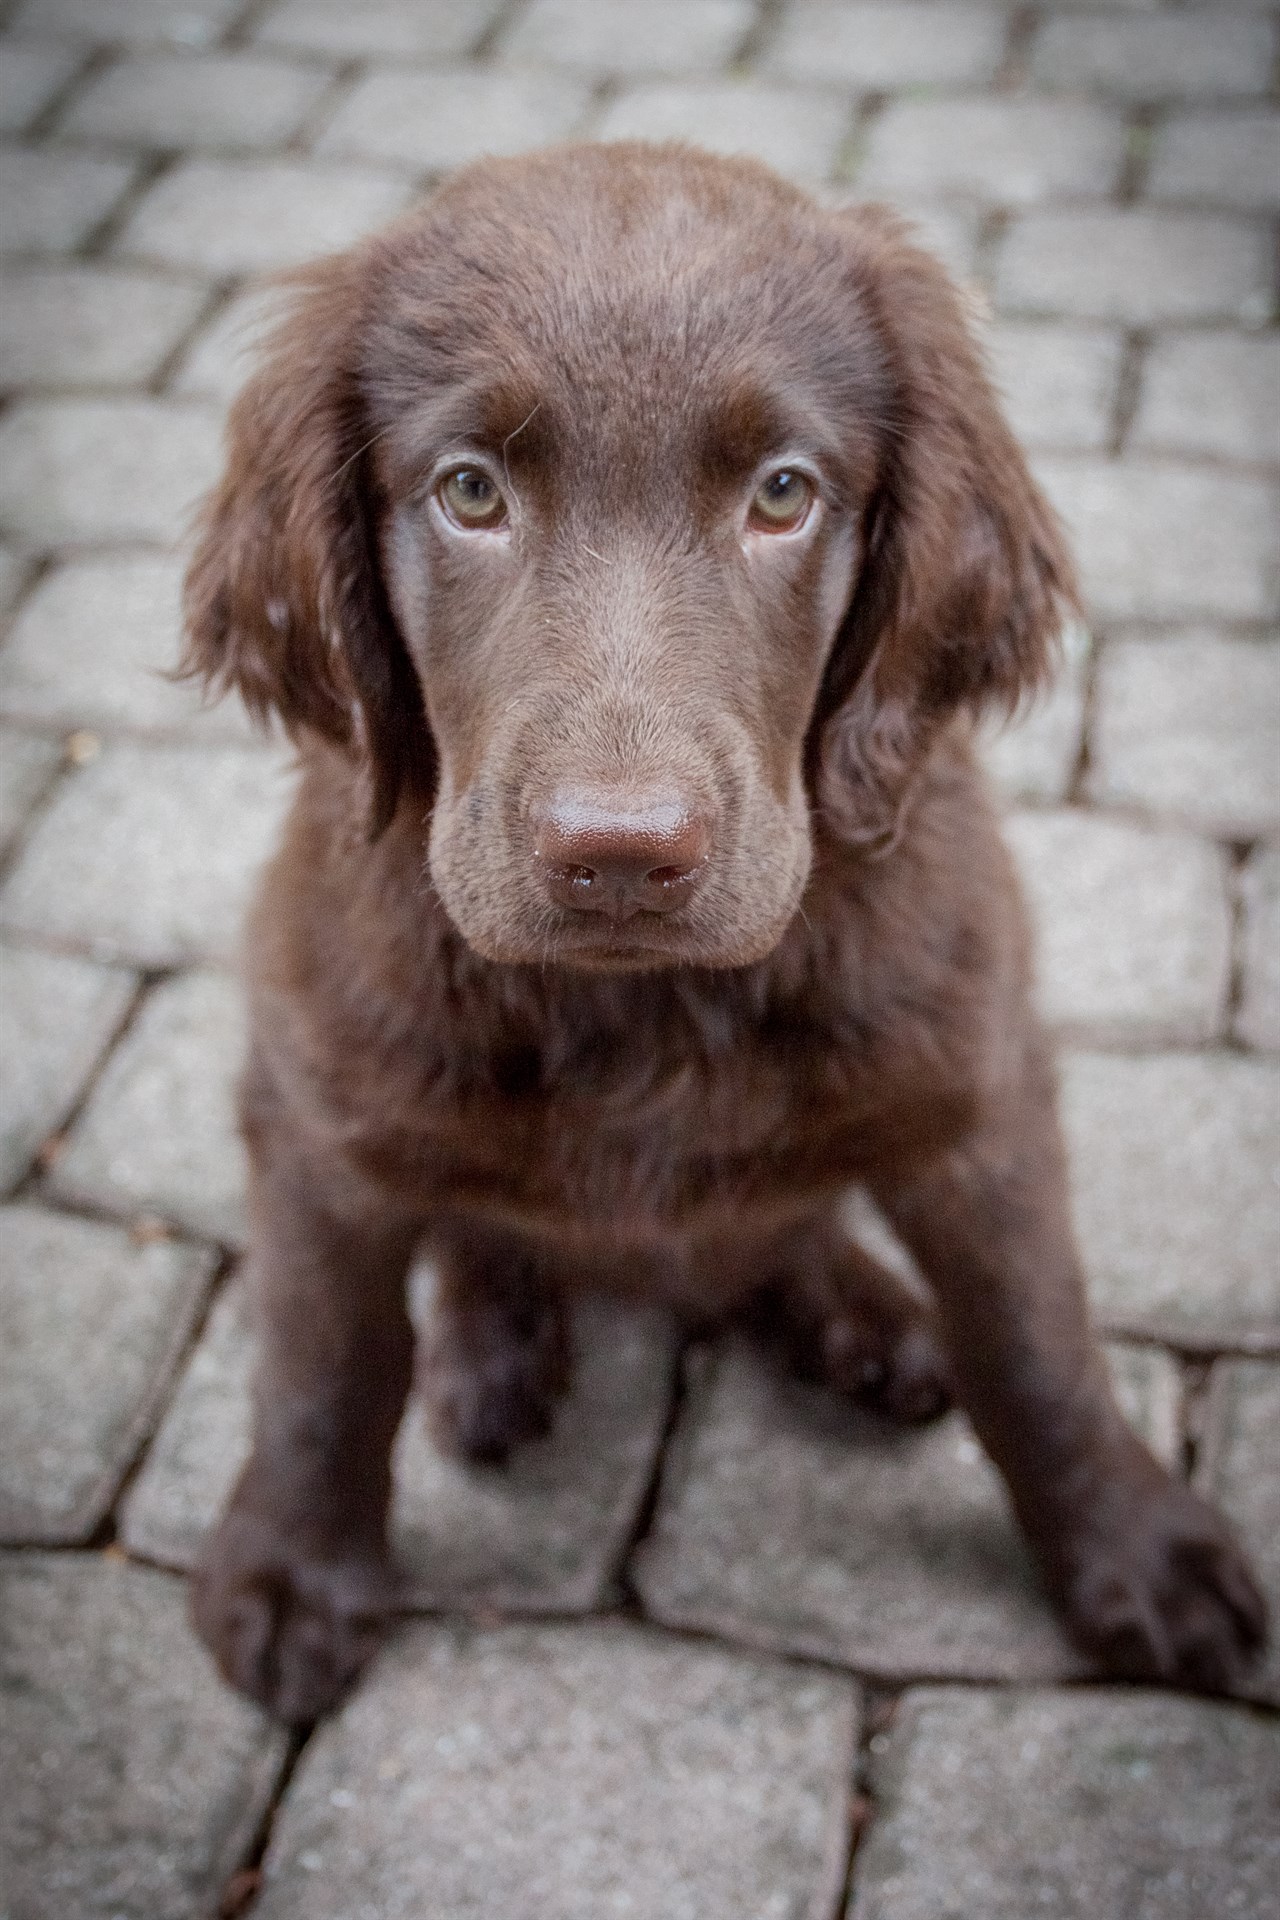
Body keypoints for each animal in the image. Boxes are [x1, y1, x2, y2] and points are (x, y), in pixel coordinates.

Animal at [182, 139, 1274, 1728]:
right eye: (467, 490)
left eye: (782, 493)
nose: (619, 858)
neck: (645, 1001)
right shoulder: (316, 1103)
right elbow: (327, 1357)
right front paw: (292, 1574)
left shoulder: (976, 1086)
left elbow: (1037, 1339)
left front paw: (1138, 1551)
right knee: (476, 1238)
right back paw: (494, 1352)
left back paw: (864, 1319)